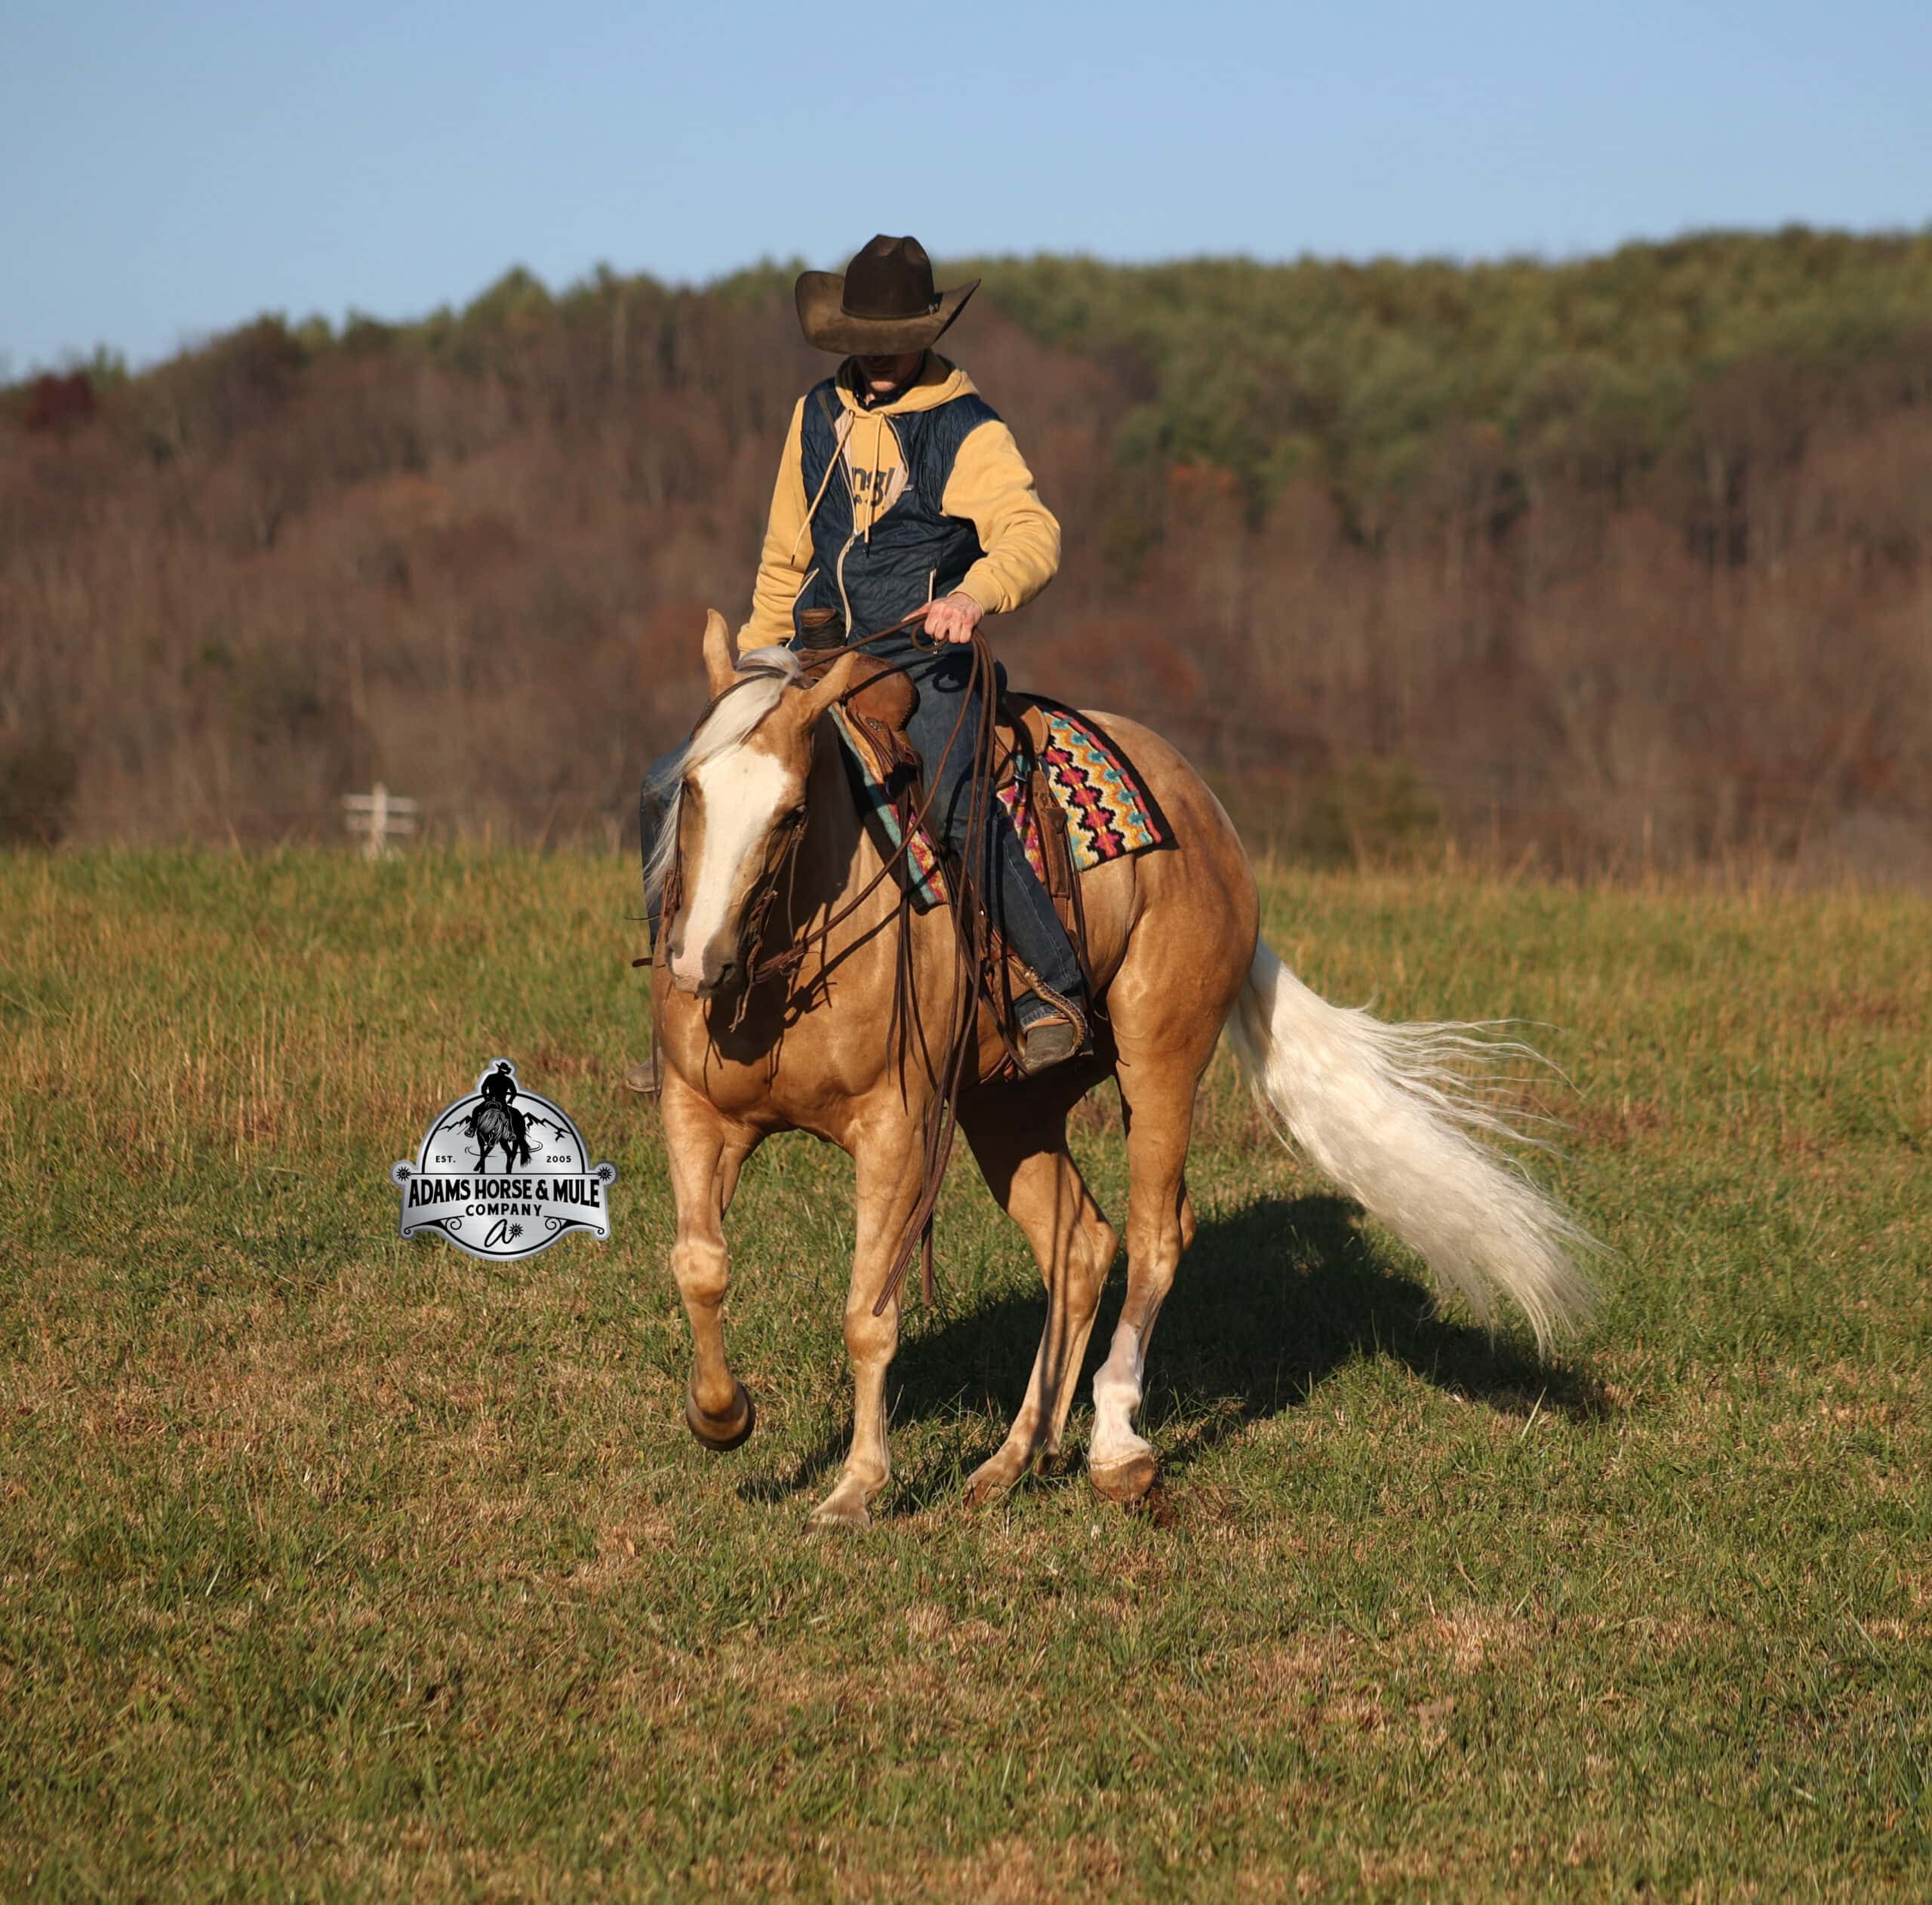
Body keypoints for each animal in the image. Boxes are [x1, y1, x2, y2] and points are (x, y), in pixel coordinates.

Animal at [648, 612, 1597, 1529]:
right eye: (690, 789)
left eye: (790, 813)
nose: (698, 961)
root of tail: (1209, 819)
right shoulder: (695, 1110)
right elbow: (698, 1262)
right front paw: (722, 1416)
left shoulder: (896, 1130)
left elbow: (869, 1316)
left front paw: (854, 1491)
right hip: (1010, 1108)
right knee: (1080, 1244)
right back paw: (1011, 1460)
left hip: (1160, 1064)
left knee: (1155, 1236)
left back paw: (1113, 1446)